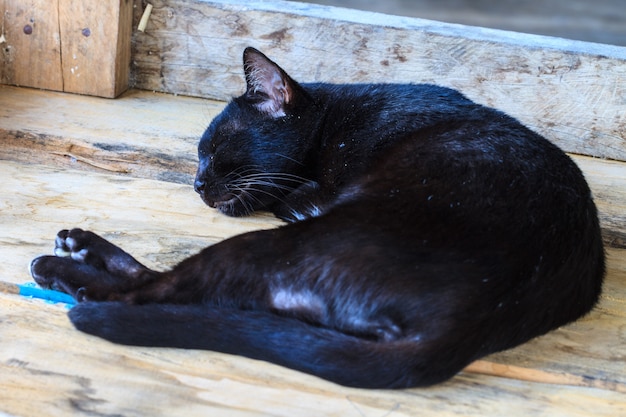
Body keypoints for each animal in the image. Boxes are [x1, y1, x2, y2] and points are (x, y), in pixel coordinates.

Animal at [30, 47, 604, 388]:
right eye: (198, 155)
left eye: (215, 151)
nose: (195, 183)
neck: (338, 123)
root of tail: (476, 321)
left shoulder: (309, 201)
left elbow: (289, 199)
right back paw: (78, 246)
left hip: (281, 243)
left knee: (153, 291)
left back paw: (65, 268)